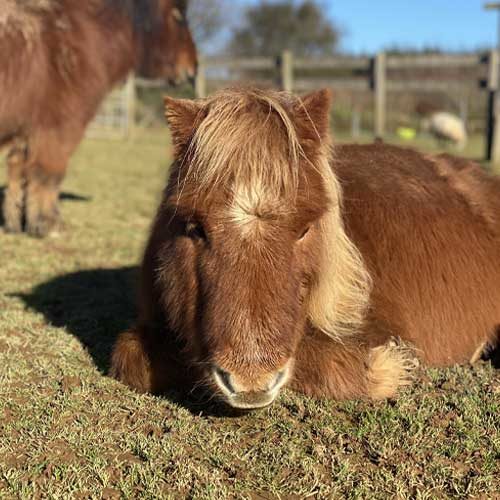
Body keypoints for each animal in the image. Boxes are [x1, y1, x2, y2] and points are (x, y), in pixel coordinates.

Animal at [0, 0, 196, 237]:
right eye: (178, 15)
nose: (192, 69)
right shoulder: (59, 127)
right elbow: (48, 173)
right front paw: (49, 223)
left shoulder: (27, 131)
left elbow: (18, 170)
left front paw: (15, 222)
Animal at [111, 87, 498, 410]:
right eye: (195, 228)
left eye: (305, 229)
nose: (251, 380)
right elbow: (130, 357)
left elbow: (347, 365)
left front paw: (393, 367)